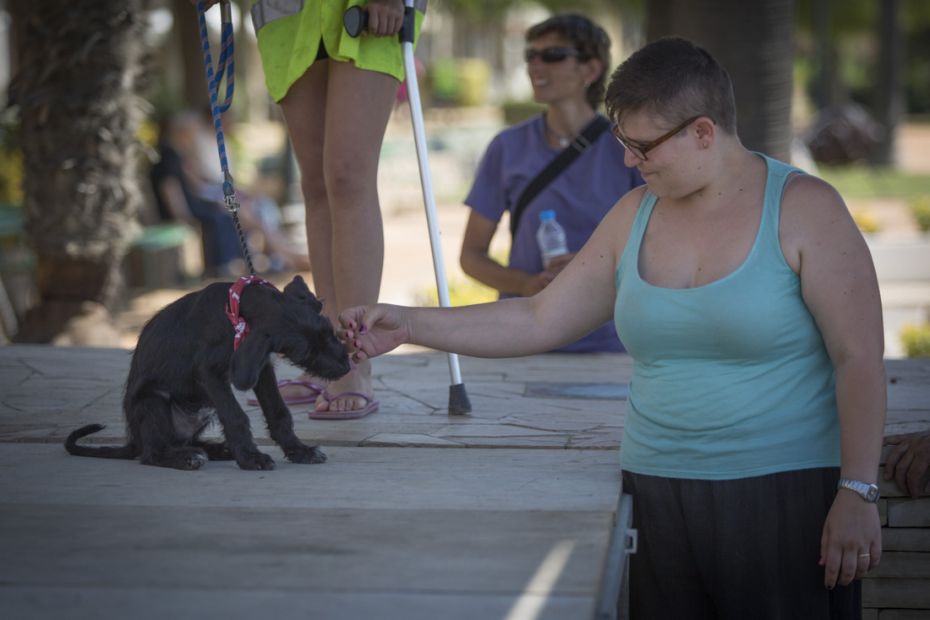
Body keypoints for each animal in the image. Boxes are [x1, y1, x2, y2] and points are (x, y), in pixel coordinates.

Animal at [64, 276, 348, 470]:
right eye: (305, 353)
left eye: (329, 331)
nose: (346, 366)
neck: (235, 312)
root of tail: (134, 439)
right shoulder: (210, 373)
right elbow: (235, 416)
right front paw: (251, 457)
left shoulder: (262, 367)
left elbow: (278, 411)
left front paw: (299, 451)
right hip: (152, 401)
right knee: (152, 453)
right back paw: (185, 458)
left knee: (181, 441)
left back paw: (218, 450)